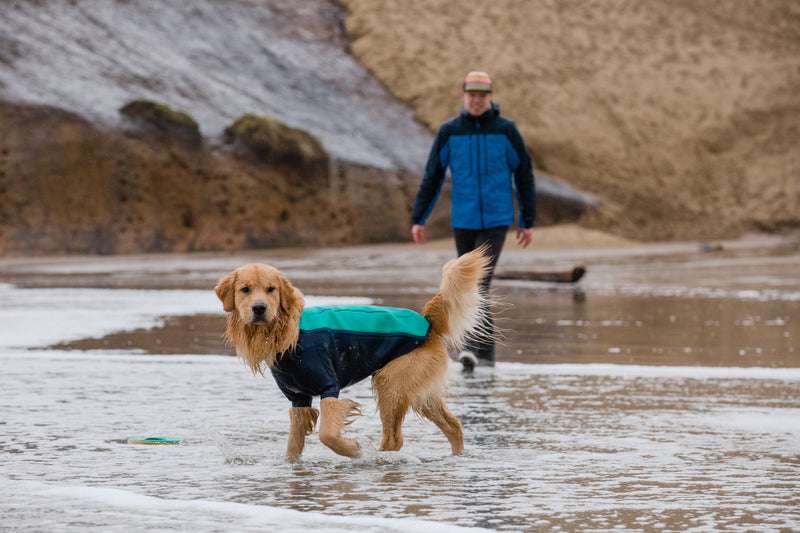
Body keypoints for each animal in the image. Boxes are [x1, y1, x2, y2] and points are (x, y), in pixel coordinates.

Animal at [217, 247, 494, 460]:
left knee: (394, 438)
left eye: (271, 289)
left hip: (391, 382)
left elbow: (328, 434)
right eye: (245, 289)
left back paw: (378, 457)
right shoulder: (298, 399)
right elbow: (293, 446)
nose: (259, 308)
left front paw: (352, 450)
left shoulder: (328, 385)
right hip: (420, 390)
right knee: (453, 426)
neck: (289, 335)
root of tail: (426, 320)